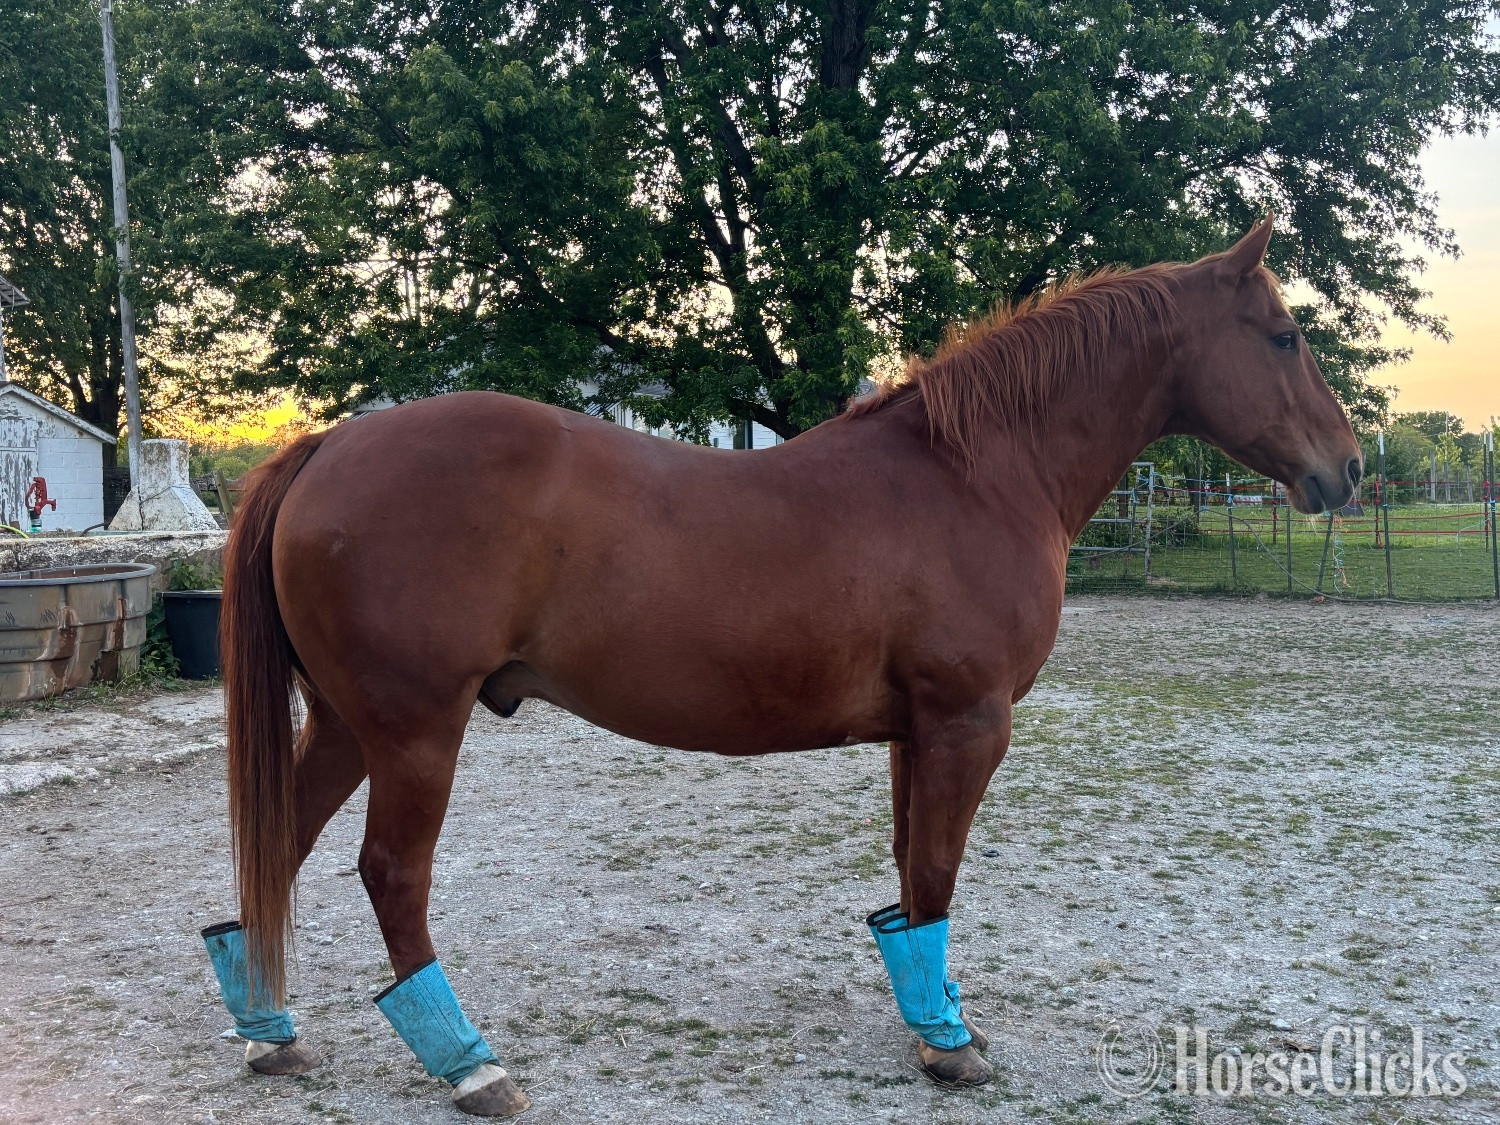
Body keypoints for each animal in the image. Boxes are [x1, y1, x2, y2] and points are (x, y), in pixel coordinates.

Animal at [200, 216, 1361, 1116]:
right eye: (1286, 335)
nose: (1346, 469)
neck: (973, 473)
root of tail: (329, 444)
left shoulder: (917, 734)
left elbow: (911, 881)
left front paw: (931, 1020)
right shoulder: (968, 723)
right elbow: (939, 876)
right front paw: (950, 1045)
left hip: (347, 725)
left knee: (278, 849)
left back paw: (272, 1030)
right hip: (414, 730)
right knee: (390, 874)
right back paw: (469, 1066)